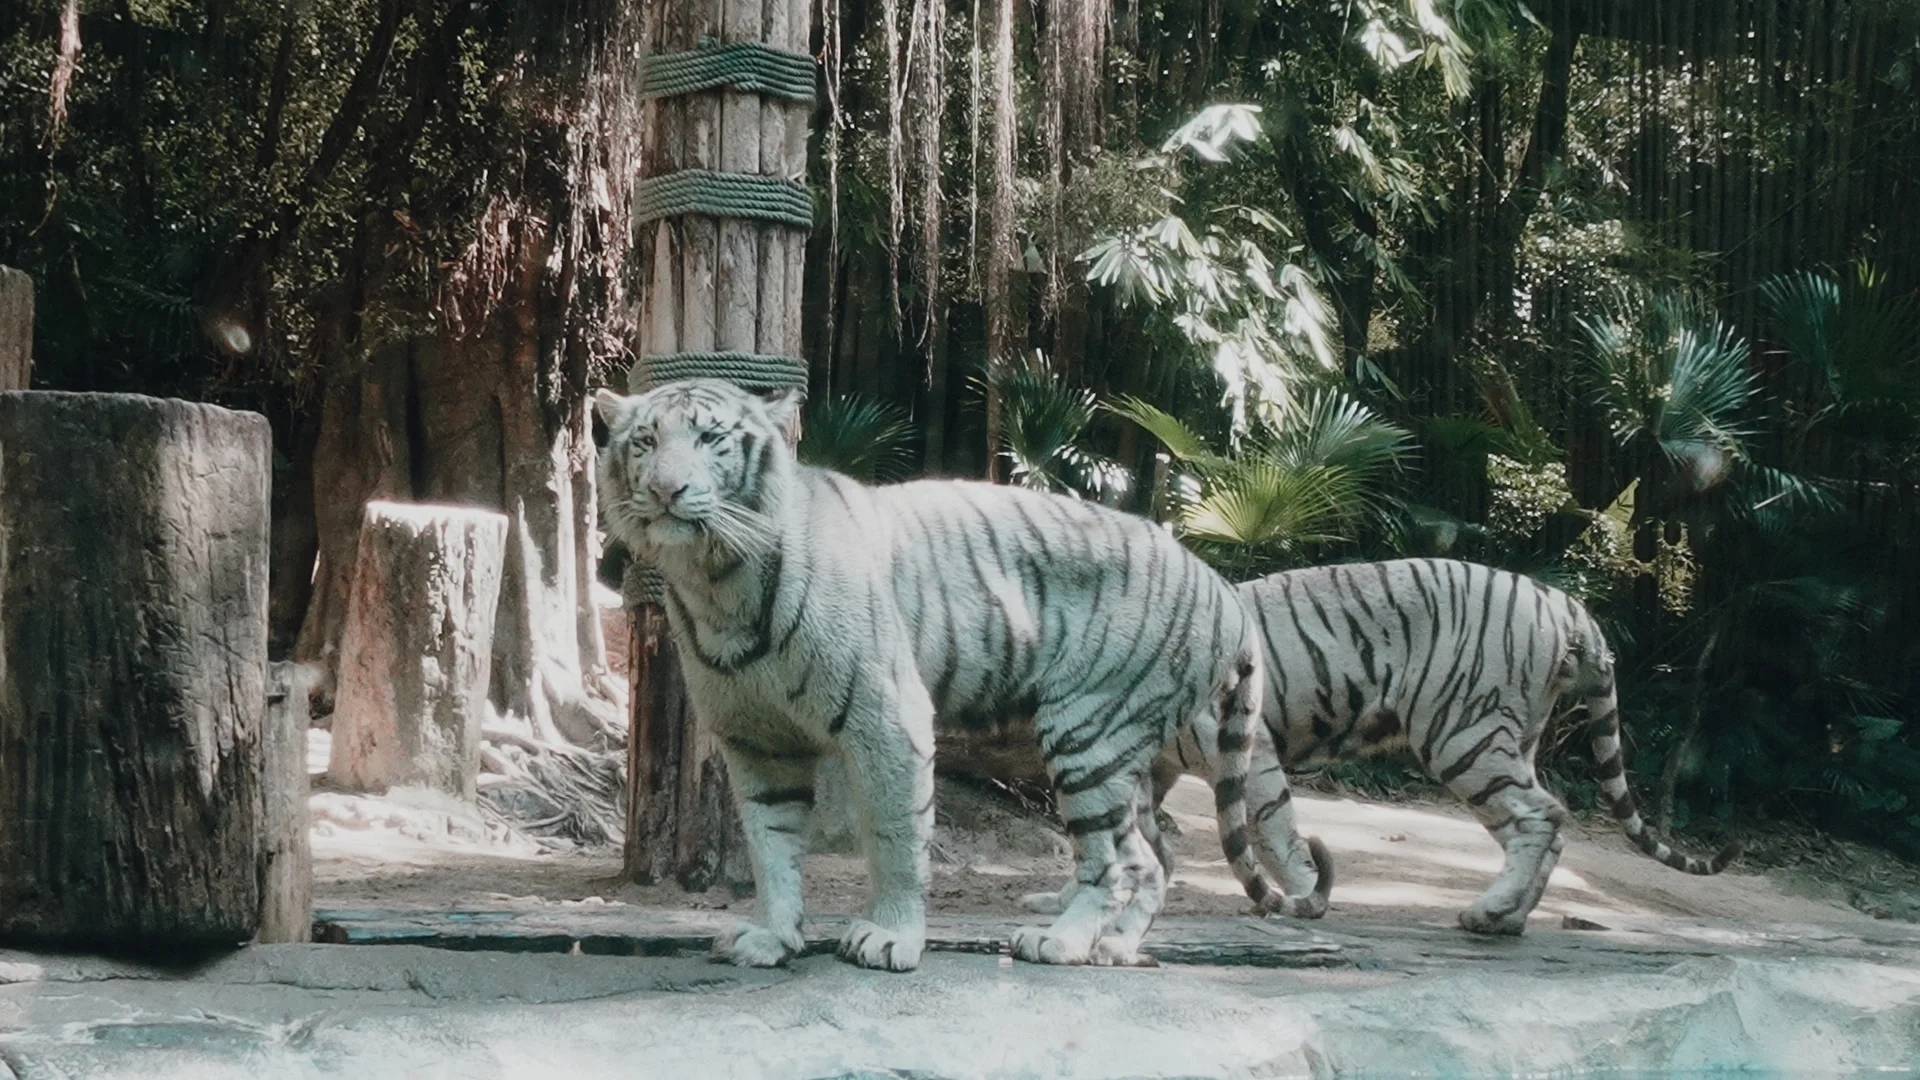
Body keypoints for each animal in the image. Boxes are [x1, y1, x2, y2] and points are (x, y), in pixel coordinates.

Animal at [591, 378, 1328, 968]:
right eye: (645, 441)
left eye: (710, 438)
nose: (665, 489)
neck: (714, 581)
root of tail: (1222, 585)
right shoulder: (758, 741)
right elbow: (772, 849)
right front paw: (771, 936)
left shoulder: (886, 717)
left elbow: (894, 835)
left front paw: (890, 937)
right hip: (1124, 758)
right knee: (1149, 859)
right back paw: (1113, 947)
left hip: (1087, 732)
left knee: (1117, 861)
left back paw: (1060, 943)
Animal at [1036, 557, 1743, 930]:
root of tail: (1566, 604)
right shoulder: (1150, 770)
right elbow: (1121, 836)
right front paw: (1074, 896)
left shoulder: (1251, 756)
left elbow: (1276, 832)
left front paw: (1305, 897)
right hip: (1508, 739)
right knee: (1550, 820)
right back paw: (1507, 917)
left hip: (1463, 734)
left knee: (1540, 816)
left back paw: (1491, 912)